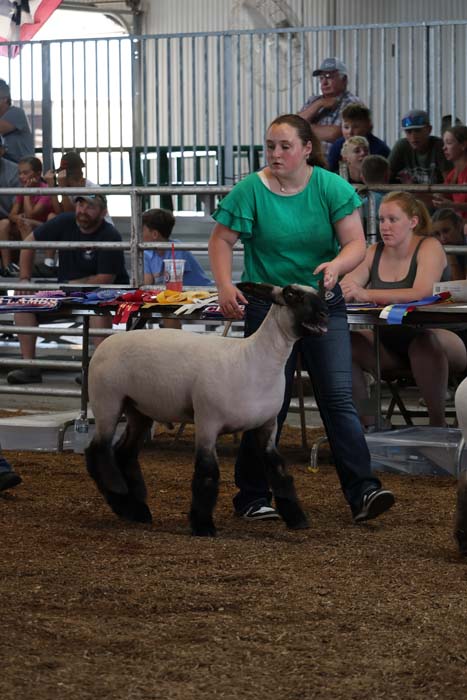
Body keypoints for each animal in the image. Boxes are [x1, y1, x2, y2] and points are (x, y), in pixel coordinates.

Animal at [85, 281, 328, 536]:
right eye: (292, 295)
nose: (325, 314)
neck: (253, 359)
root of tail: (106, 343)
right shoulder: (207, 421)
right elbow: (207, 474)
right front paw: (203, 525)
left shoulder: (267, 424)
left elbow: (278, 470)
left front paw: (297, 518)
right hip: (107, 400)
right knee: (98, 451)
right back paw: (120, 496)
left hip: (139, 409)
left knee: (124, 453)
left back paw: (137, 511)